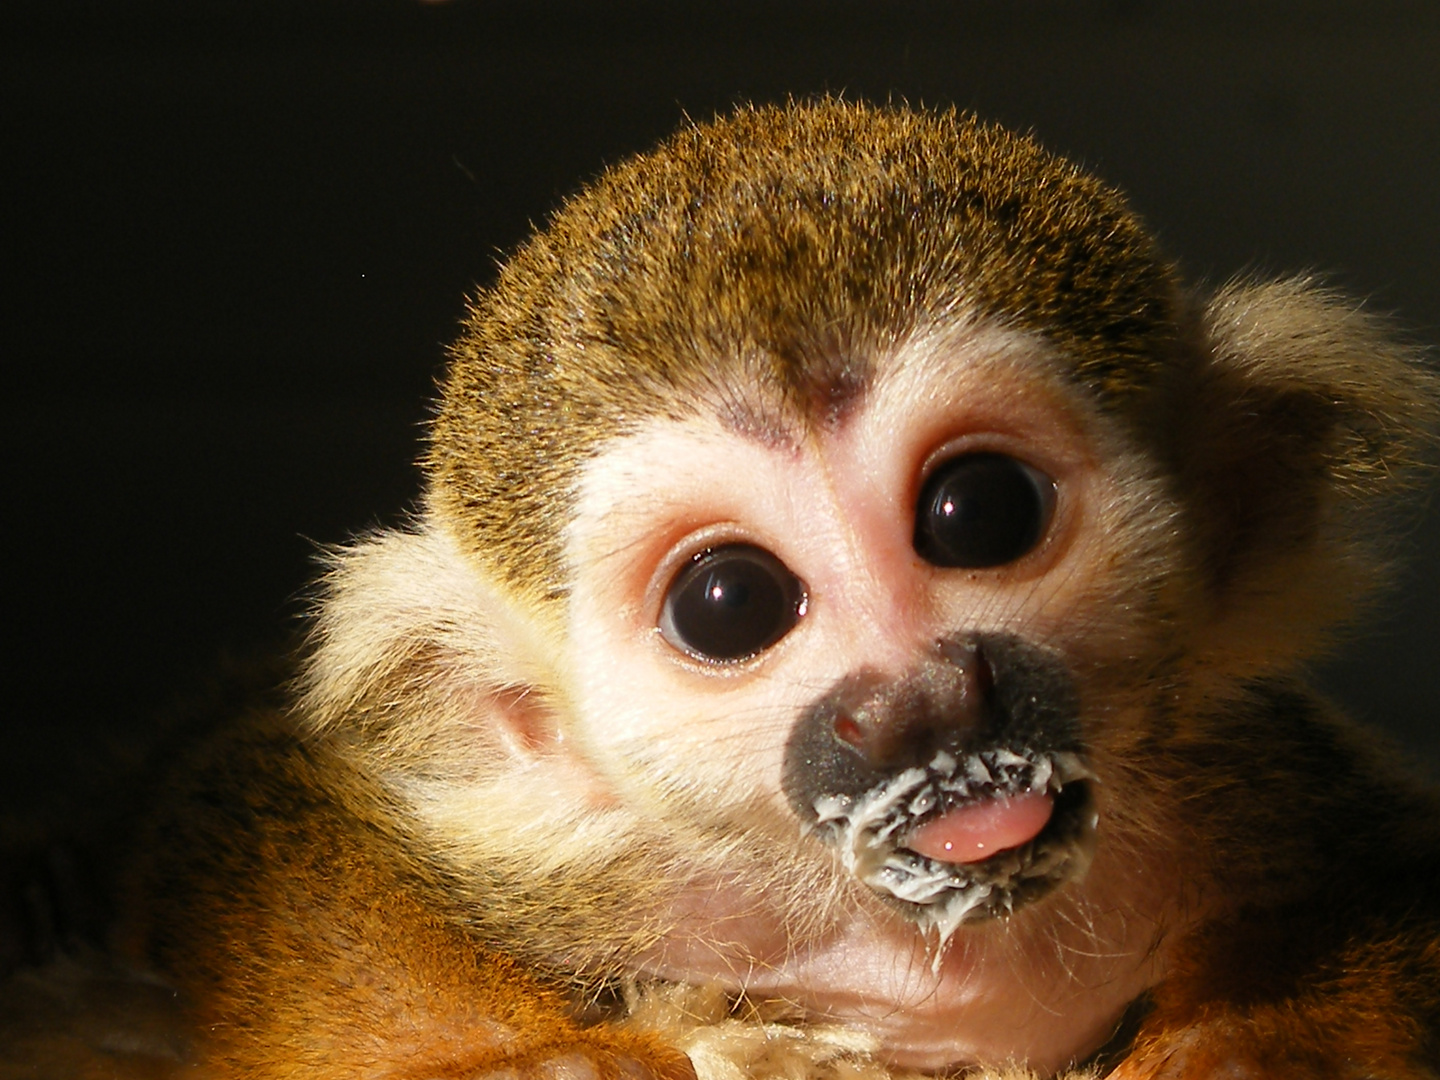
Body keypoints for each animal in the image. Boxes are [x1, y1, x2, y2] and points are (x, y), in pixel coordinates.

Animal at [112, 103, 1440, 1080]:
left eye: (980, 513)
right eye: (730, 605)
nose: (921, 700)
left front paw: (1264, 1048)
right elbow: (252, 818)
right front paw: (544, 1066)